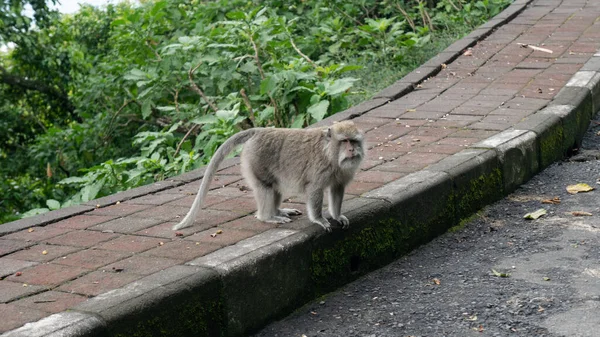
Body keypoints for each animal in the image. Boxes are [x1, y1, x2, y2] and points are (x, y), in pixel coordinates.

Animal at [171, 119, 364, 232]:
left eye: (354, 141)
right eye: (344, 141)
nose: (352, 150)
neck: (330, 153)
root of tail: (258, 131)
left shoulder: (341, 173)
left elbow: (337, 189)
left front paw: (337, 216)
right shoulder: (320, 171)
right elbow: (314, 190)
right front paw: (319, 220)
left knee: (275, 186)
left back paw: (278, 211)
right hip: (255, 161)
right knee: (266, 187)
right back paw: (267, 217)